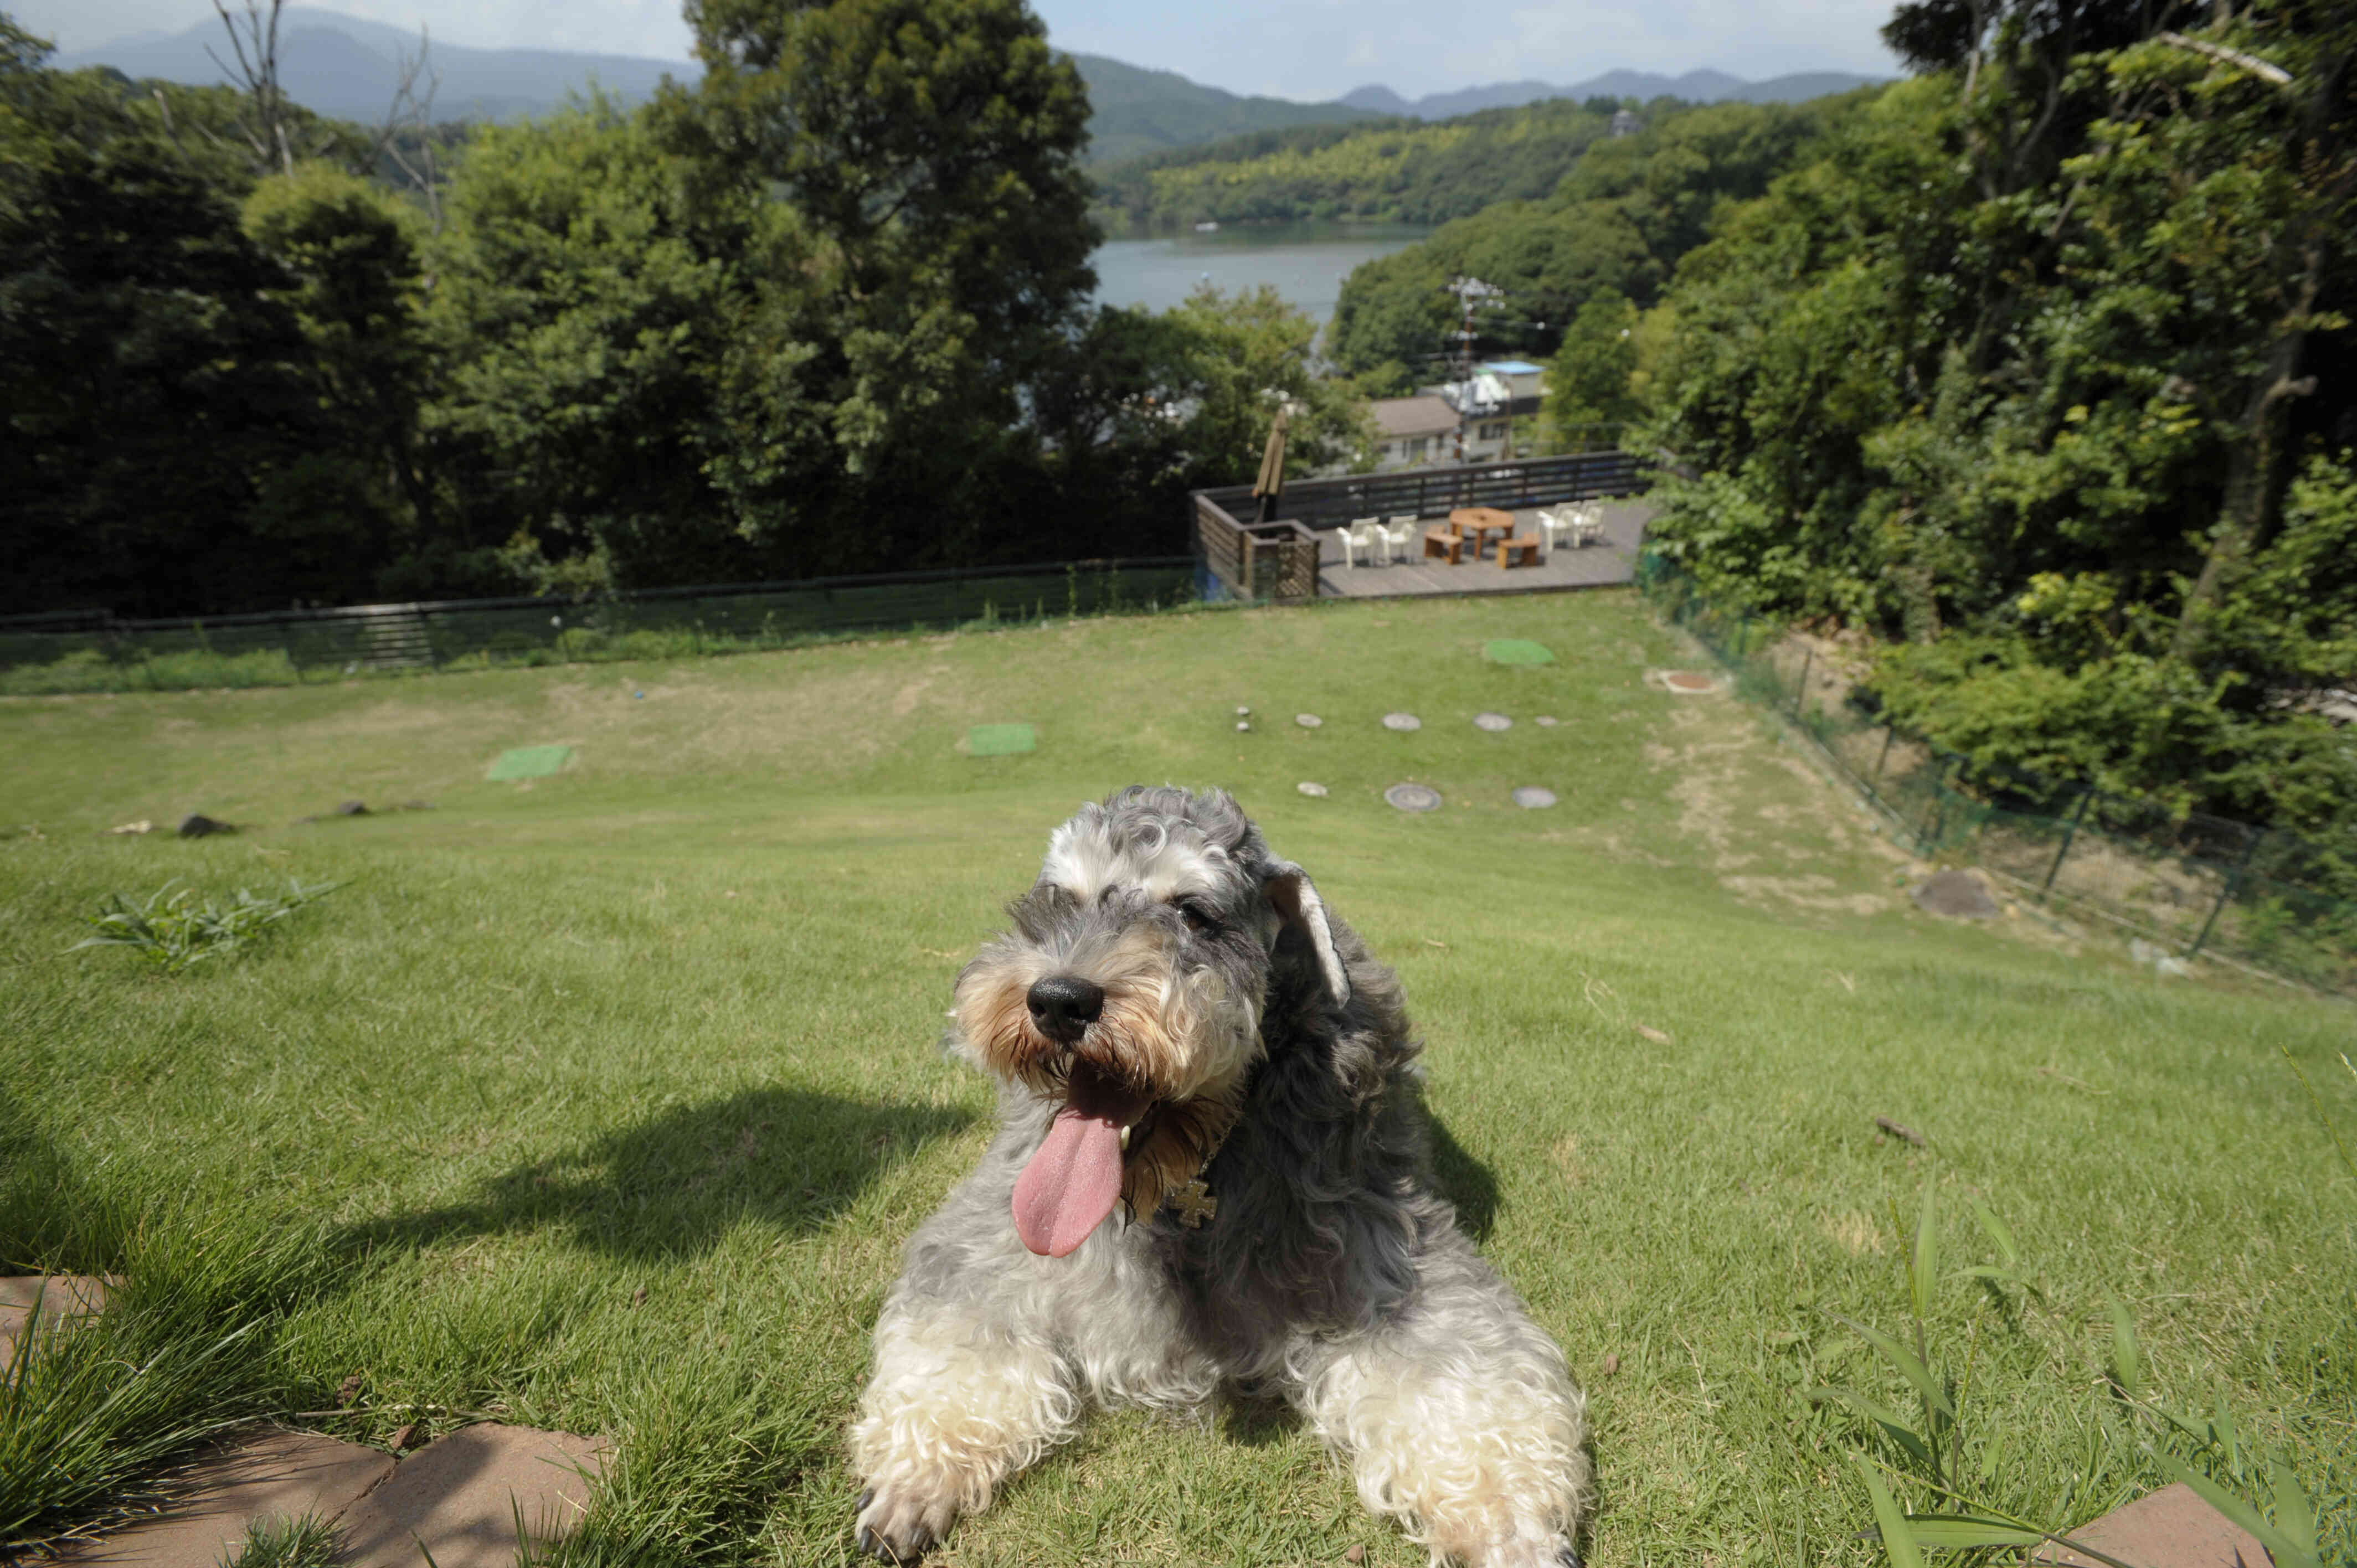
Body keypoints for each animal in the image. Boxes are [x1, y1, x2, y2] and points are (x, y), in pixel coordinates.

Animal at [848, 787, 1584, 1556]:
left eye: (1194, 912)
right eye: (1059, 899)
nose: (1057, 999)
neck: (1190, 1178)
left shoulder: (1386, 1251)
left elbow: (1459, 1379)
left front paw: (1507, 1527)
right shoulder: (985, 1247)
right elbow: (956, 1349)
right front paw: (913, 1478)